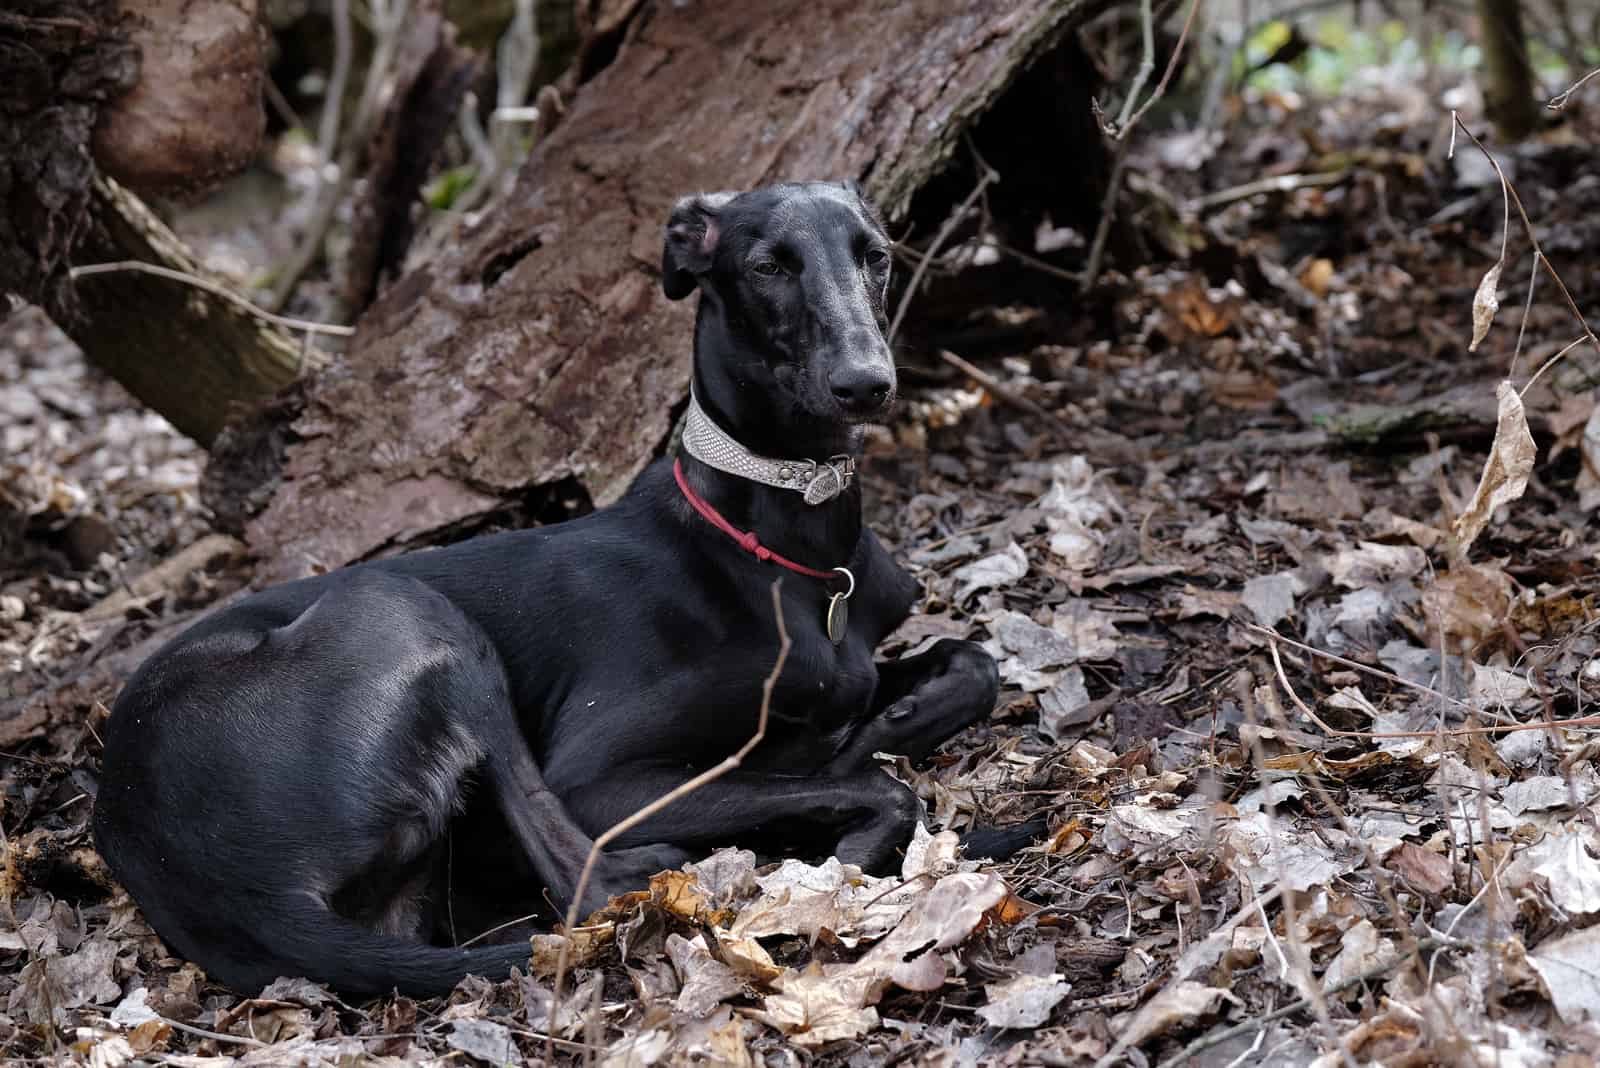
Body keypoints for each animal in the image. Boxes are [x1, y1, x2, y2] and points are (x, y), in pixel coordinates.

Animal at [90, 179, 998, 997]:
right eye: (769, 265)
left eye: (876, 256)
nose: (866, 384)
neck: (790, 545)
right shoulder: (601, 779)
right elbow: (874, 784)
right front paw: (845, 824)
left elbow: (973, 664)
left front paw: (903, 716)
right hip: (406, 610)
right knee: (588, 882)